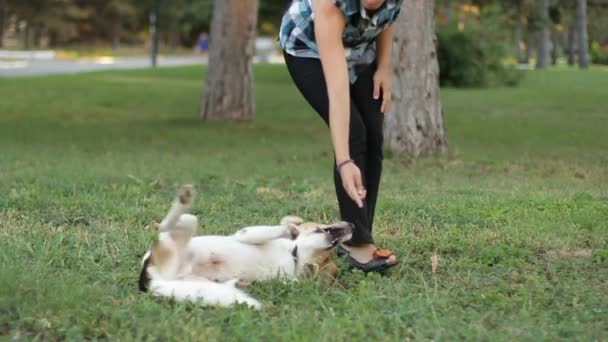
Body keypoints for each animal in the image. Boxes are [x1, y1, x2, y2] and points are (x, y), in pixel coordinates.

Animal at [140, 186, 354, 308]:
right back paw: (182, 199)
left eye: (328, 256)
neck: (294, 257)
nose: (352, 225)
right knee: (168, 224)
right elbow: (282, 228)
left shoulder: (288, 277)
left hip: (194, 283)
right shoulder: (246, 234)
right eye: (320, 228)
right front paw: (290, 228)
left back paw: (239, 284)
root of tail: (148, 278)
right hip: (183, 227)